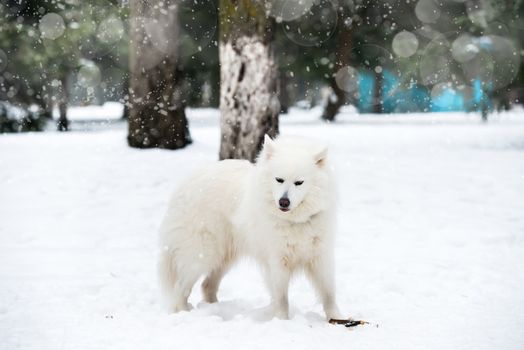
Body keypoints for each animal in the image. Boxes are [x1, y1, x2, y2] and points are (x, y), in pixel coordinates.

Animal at [158, 135, 342, 322]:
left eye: (299, 182)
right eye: (279, 179)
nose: (283, 202)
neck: (294, 221)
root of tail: (186, 184)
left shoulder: (321, 258)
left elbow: (329, 293)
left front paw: (336, 319)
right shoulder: (277, 261)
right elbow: (282, 297)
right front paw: (282, 321)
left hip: (224, 258)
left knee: (207, 285)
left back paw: (215, 309)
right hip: (201, 255)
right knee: (180, 289)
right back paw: (183, 312)